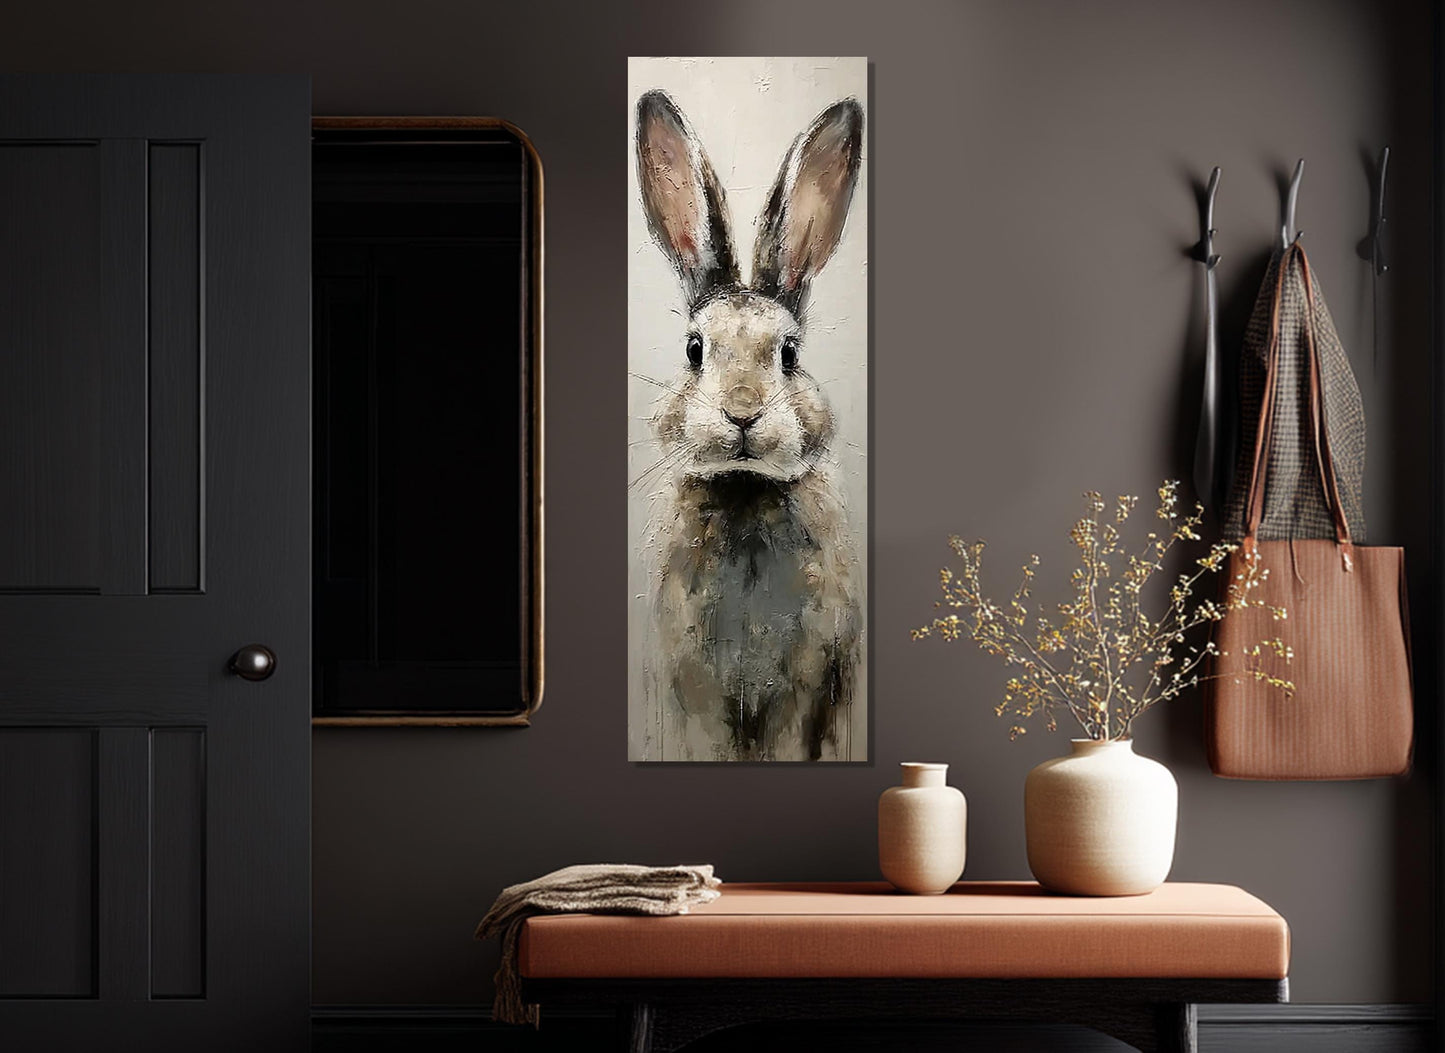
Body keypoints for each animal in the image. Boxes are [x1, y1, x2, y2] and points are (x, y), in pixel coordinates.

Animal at [633, 89, 865, 761]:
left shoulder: (808, 688)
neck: (744, 489)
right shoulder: (693, 691)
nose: (742, 412)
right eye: (694, 349)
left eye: (789, 353)